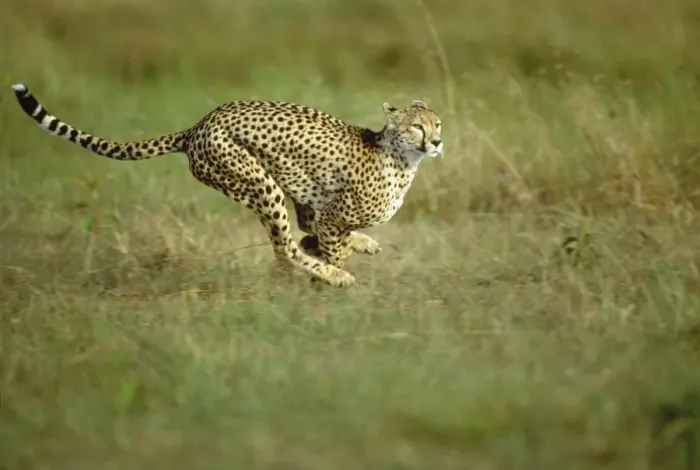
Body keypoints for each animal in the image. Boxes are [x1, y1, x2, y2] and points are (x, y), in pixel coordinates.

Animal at [10, 83, 443, 287]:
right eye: (416, 127)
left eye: (437, 123)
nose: (437, 142)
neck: (401, 158)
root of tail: (198, 125)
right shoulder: (331, 215)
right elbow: (328, 244)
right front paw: (329, 275)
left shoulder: (319, 204)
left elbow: (319, 230)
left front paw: (354, 247)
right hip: (259, 183)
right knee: (283, 247)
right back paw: (332, 274)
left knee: (294, 234)